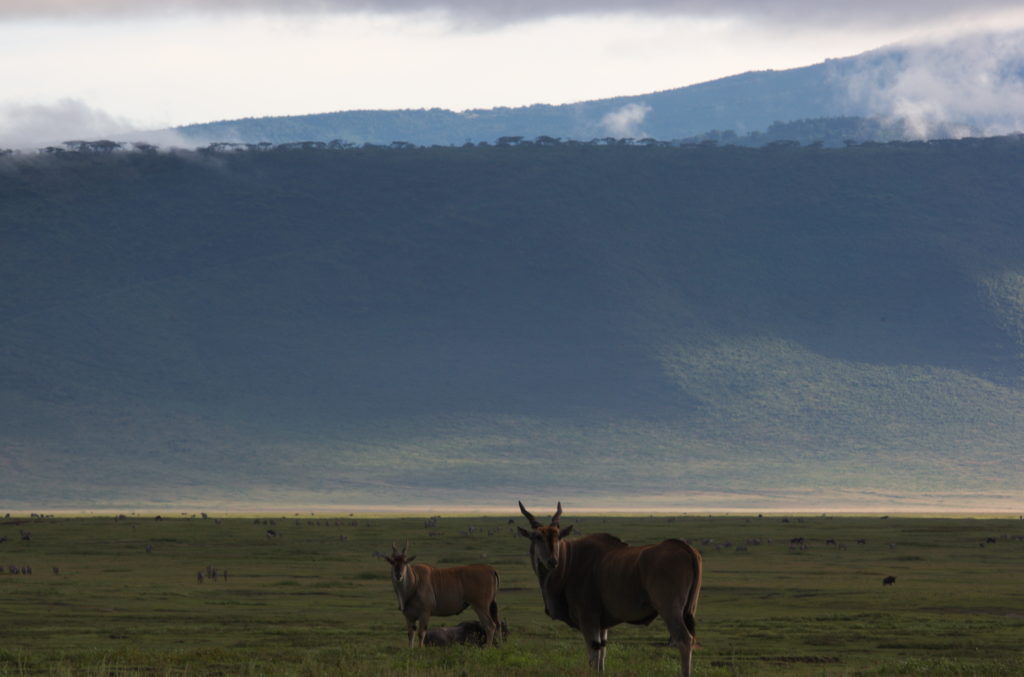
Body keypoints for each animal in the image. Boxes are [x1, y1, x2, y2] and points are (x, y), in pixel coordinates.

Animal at [520, 499, 704, 671]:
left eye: (558, 536)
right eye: (538, 537)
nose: (552, 561)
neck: (570, 560)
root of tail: (686, 548)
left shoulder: (588, 619)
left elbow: (593, 657)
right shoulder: (602, 625)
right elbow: (602, 656)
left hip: (670, 610)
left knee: (684, 640)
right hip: (689, 609)